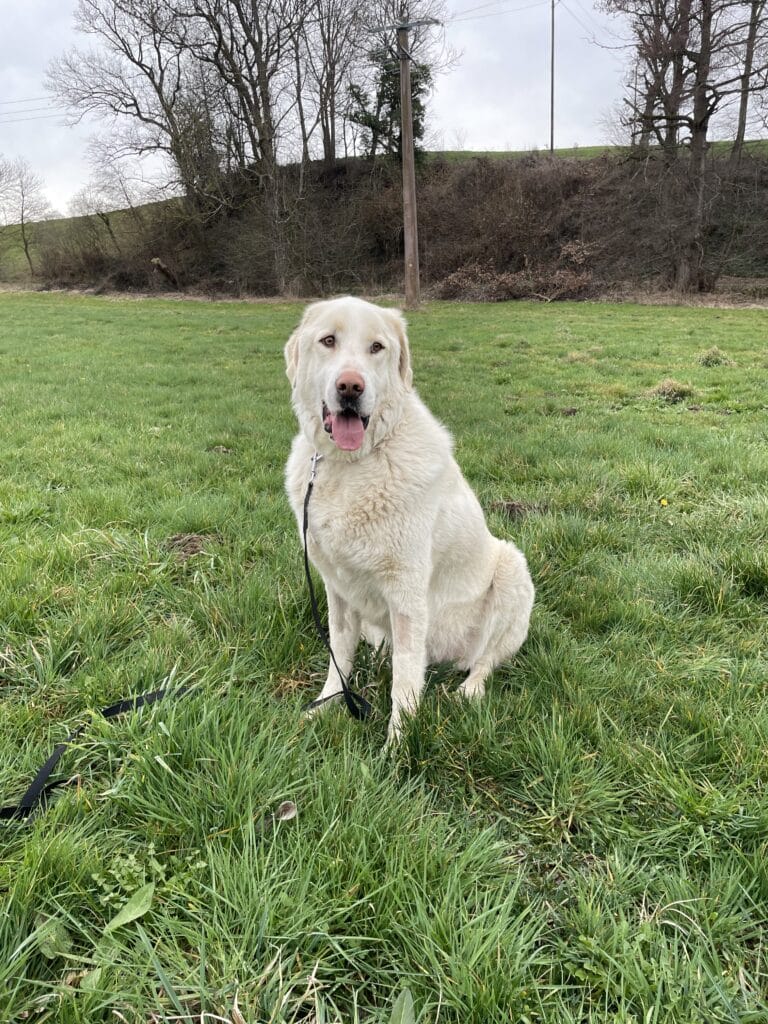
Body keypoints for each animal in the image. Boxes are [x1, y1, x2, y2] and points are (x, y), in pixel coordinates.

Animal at [284, 296, 536, 745]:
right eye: (328, 341)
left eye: (377, 347)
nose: (351, 387)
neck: (352, 464)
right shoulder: (337, 588)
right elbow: (339, 656)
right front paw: (327, 706)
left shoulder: (407, 592)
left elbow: (403, 677)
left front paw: (397, 743)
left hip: (512, 568)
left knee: (486, 659)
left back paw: (469, 690)